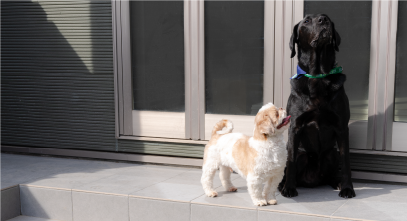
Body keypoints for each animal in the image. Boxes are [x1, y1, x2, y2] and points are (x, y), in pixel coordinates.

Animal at [278, 14, 356, 199]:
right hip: (300, 153)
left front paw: (347, 188)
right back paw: (283, 185)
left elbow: (346, 162)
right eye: (306, 21)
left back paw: (337, 182)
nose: (323, 20)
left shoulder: (342, 127)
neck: (318, 76)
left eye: (327, 18)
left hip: (331, 154)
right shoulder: (295, 126)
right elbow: (291, 163)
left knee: (332, 172)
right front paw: (289, 188)